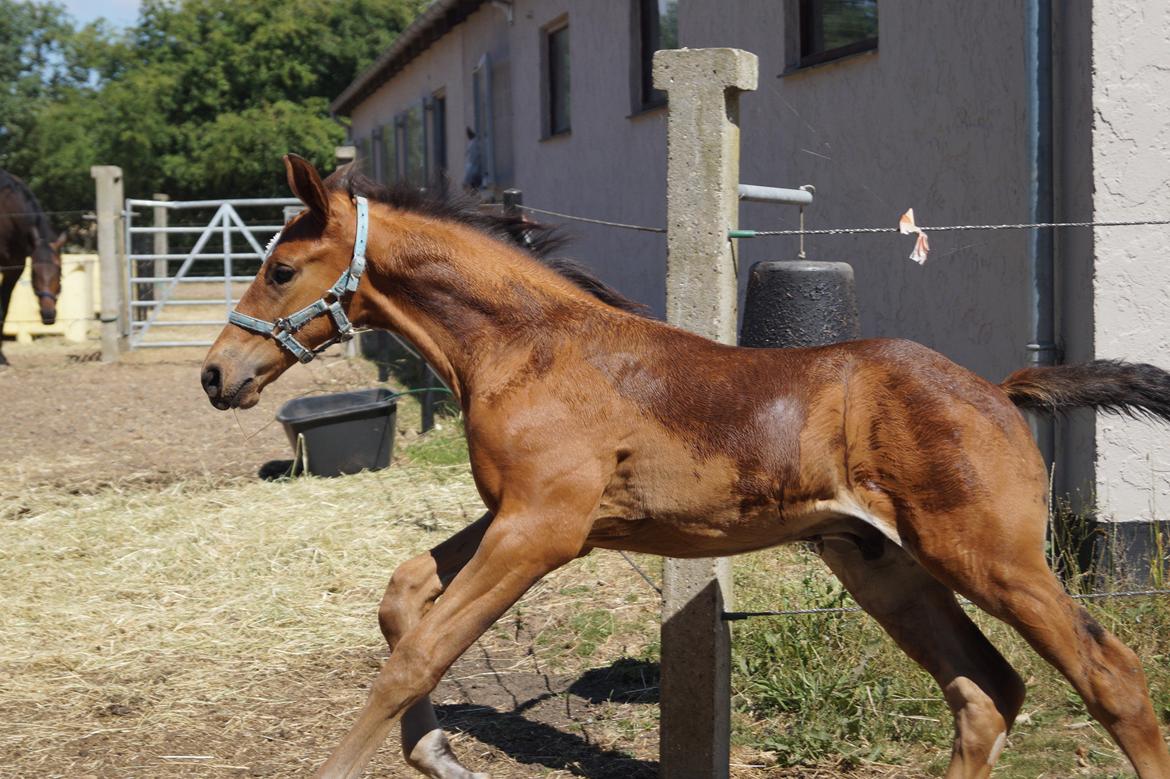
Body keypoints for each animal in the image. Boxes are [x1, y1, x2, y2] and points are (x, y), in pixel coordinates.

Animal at [203, 153, 1170, 776]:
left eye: (280, 268)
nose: (218, 374)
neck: (530, 348)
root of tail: (1001, 389)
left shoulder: (540, 531)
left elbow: (415, 656)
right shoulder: (528, 517)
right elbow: (403, 596)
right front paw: (437, 752)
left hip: (991, 556)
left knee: (1112, 677)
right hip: (884, 563)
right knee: (984, 690)